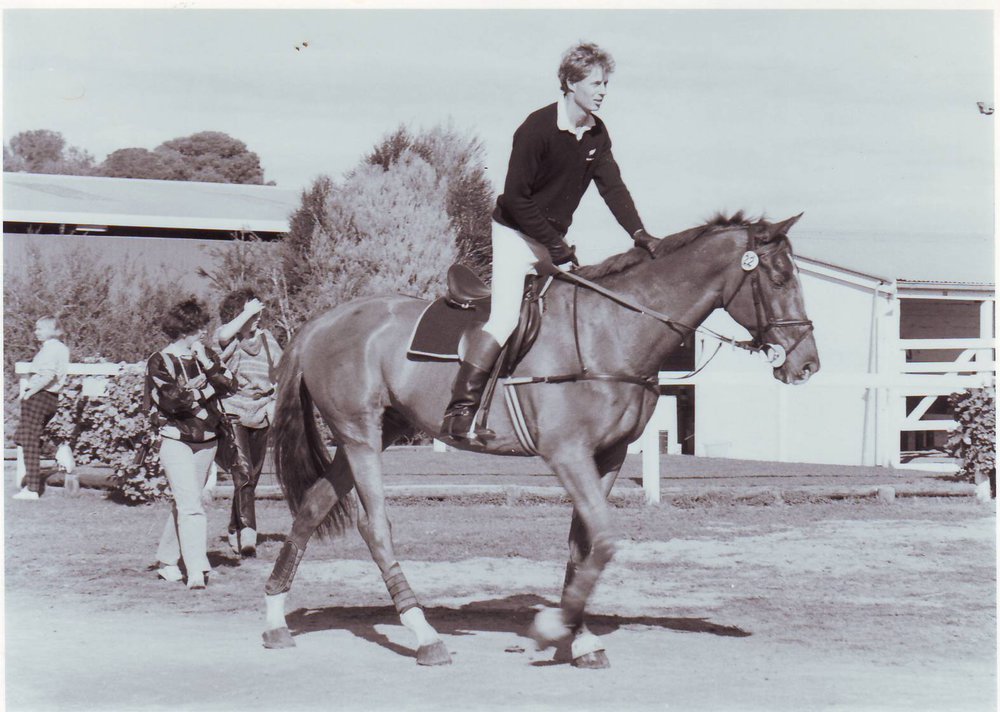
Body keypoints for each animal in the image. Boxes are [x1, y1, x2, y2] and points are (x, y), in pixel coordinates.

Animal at [260, 213, 820, 668]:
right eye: (779, 276)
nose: (806, 364)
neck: (613, 331)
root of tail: (322, 322)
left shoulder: (607, 457)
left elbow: (584, 546)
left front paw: (582, 638)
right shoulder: (566, 454)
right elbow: (605, 539)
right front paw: (552, 629)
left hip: (375, 433)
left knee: (311, 508)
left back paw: (274, 621)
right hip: (360, 433)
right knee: (375, 527)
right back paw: (424, 637)